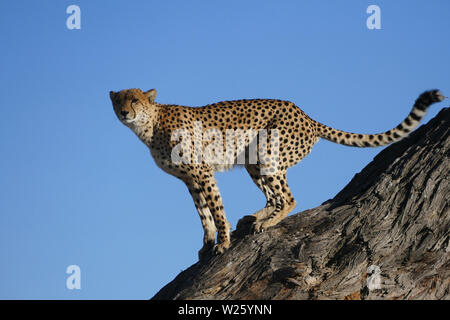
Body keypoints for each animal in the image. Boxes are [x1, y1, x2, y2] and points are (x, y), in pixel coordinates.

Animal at [110, 89, 442, 258]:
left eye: (134, 99)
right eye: (118, 100)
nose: (125, 112)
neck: (149, 126)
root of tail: (306, 115)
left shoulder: (202, 172)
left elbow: (216, 210)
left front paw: (223, 243)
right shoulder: (190, 180)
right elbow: (203, 213)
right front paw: (206, 243)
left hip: (268, 152)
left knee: (288, 198)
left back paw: (266, 223)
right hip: (254, 160)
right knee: (275, 197)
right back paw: (255, 217)